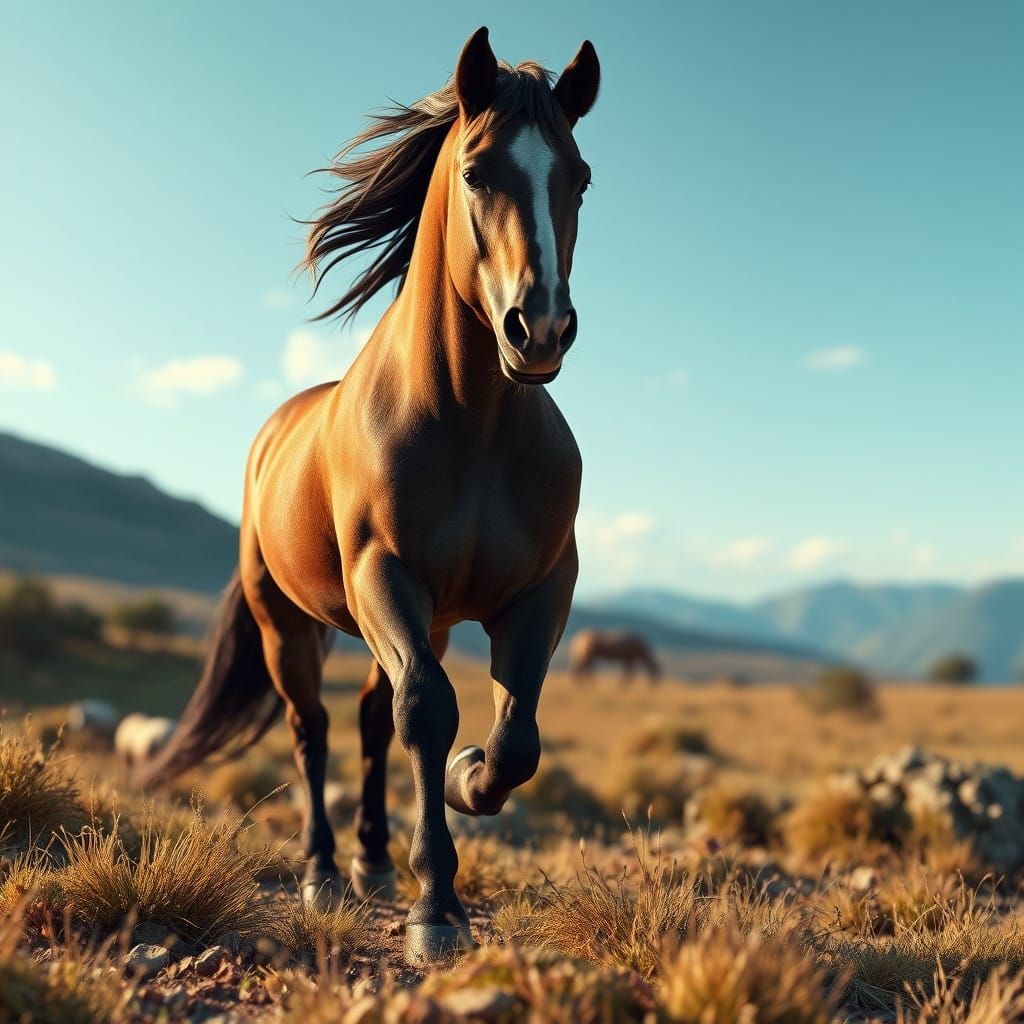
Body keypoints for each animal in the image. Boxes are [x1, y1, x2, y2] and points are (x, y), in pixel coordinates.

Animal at [138, 27, 600, 965]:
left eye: (580, 177)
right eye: (477, 172)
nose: (538, 330)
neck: (472, 425)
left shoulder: (540, 591)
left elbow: (515, 739)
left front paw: (465, 783)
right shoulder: (383, 575)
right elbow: (427, 710)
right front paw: (437, 907)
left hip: (418, 619)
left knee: (367, 715)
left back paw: (375, 860)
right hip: (290, 623)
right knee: (313, 727)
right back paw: (324, 870)